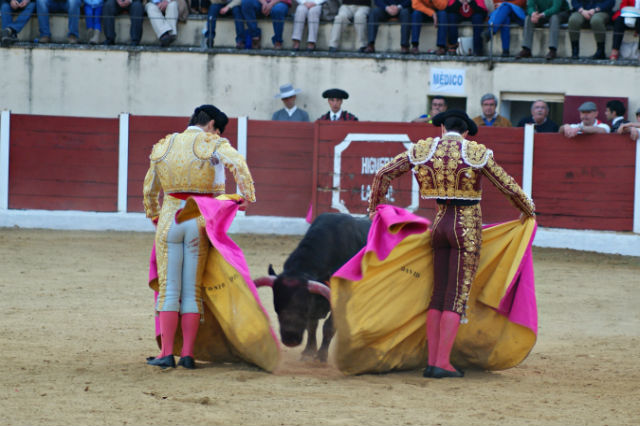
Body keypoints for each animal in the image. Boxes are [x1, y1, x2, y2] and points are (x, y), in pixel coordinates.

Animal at [254, 213, 370, 362]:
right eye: (276, 309)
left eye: (303, 309)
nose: (290, 340)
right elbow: (312, 325)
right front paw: (308, 352)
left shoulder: (339, 299)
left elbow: (329, 326)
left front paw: (320, 356)